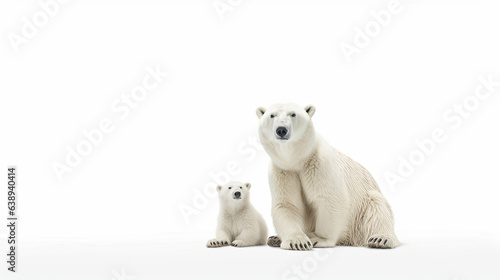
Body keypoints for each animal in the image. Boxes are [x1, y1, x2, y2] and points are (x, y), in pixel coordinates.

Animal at [256, 103, 400, 252]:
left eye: (293, 114)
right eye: (272, 115)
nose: (281, 130)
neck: (297, 160)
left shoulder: (320, 163)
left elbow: (330, 198)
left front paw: (318, 239)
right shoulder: (283, 170)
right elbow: (287, 204)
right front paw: (297, 242)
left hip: (363, 206)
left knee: (377, 208)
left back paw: (381, 239)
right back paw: (274, 239)